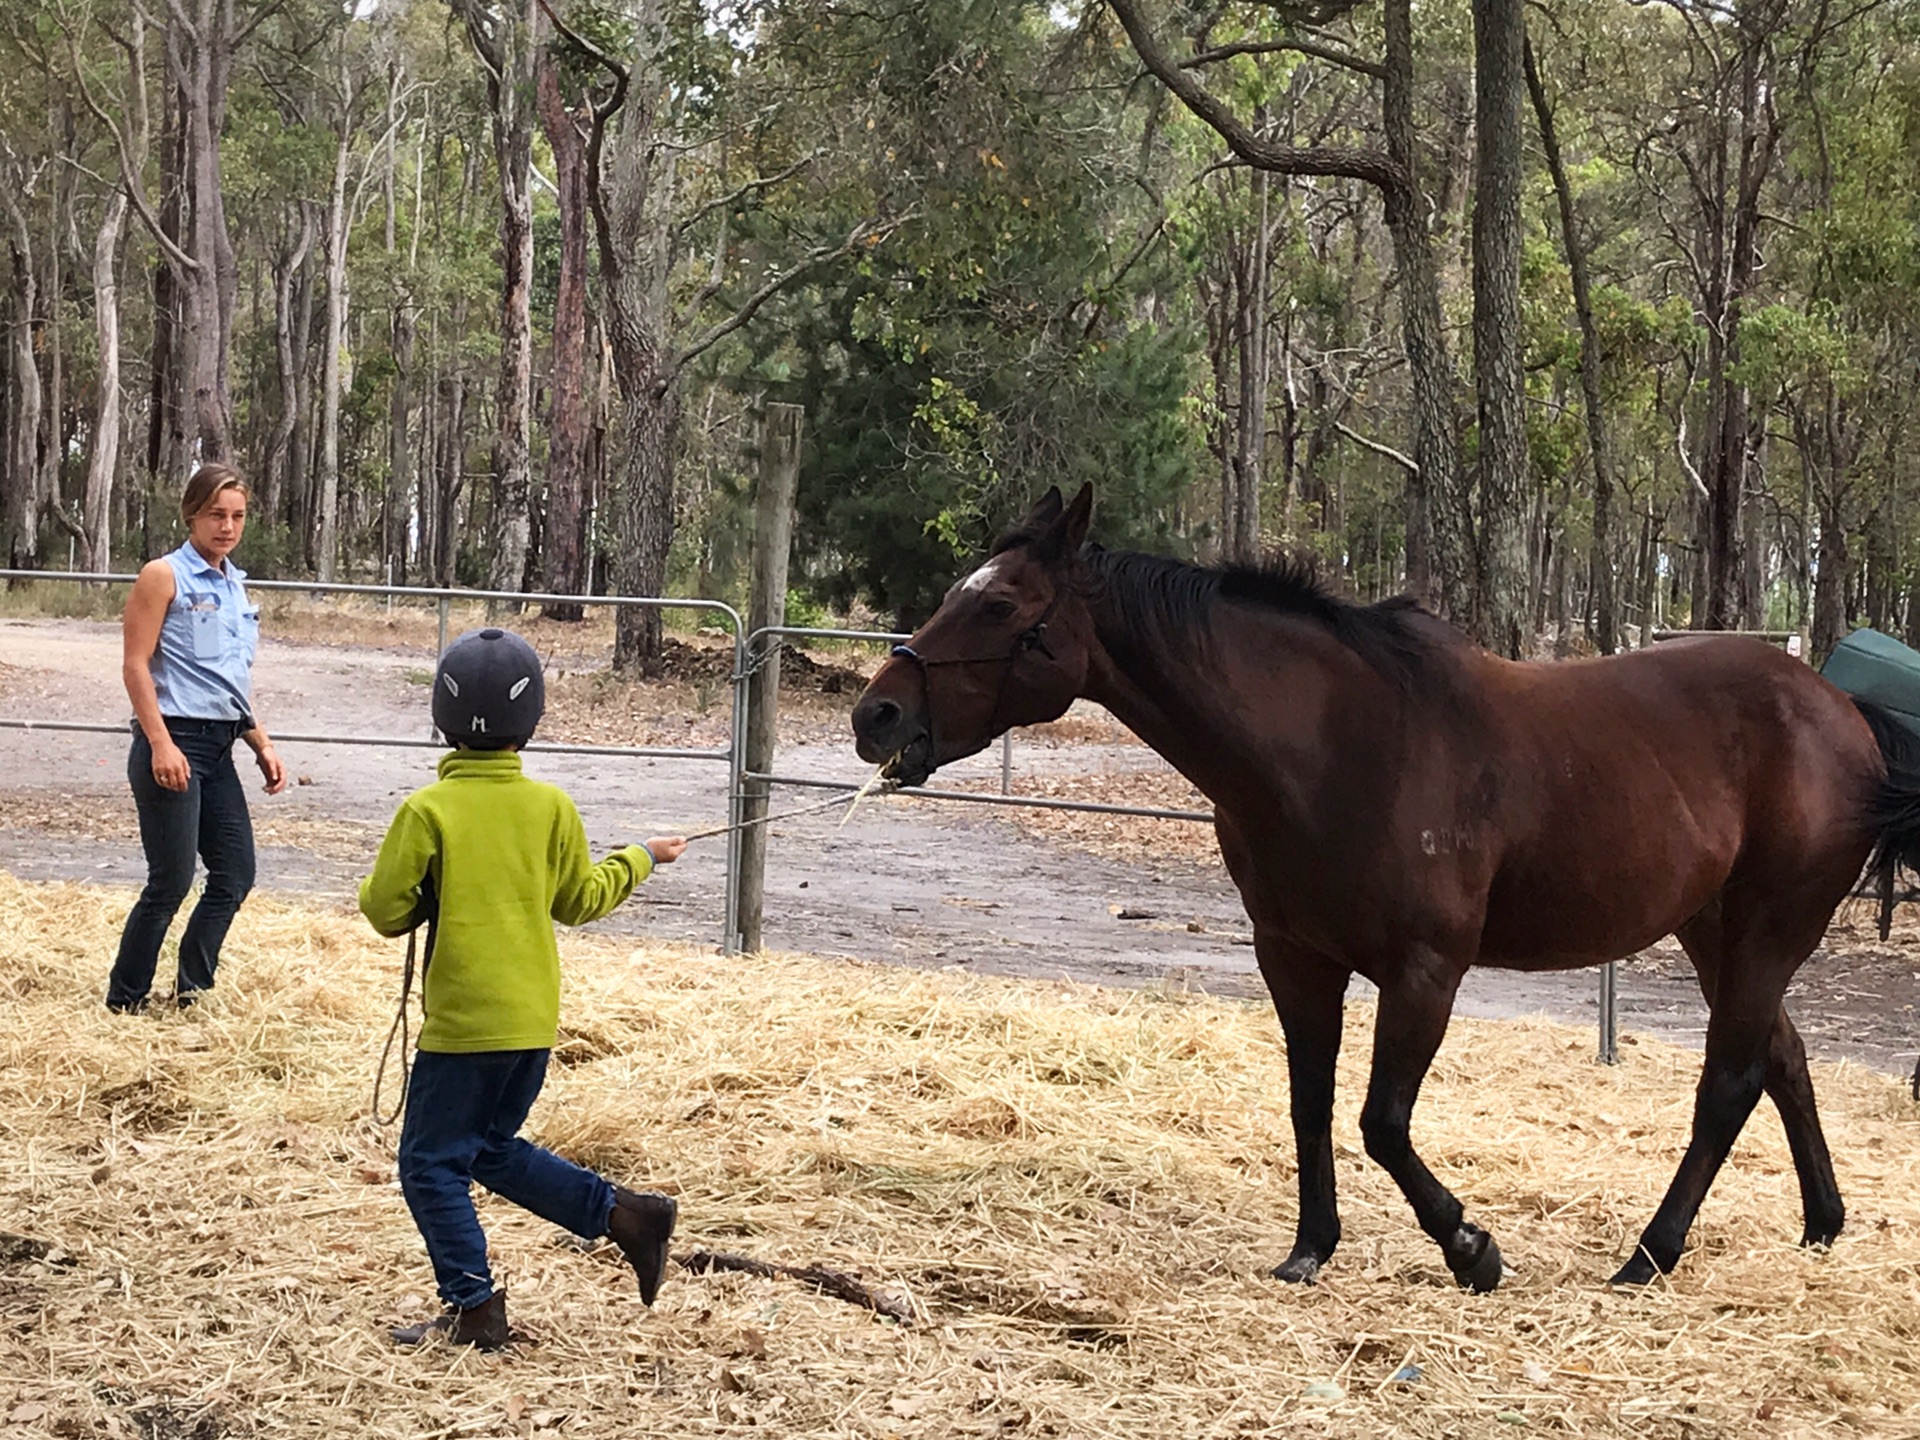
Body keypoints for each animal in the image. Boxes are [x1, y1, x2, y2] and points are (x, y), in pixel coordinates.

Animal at [856, 487, 1920, 1297]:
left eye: (1002, 608)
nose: (878, 716)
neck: (1340, 745)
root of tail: (1842, 710)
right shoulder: (1295, 961)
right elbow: (1310, 1102)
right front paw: (1309, 1249)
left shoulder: (1424, 972)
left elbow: (1382, 1120)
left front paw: (1472, 1250)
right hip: (1715, 933)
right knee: (1784, 1060)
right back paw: (1820, 1226)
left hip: (1769, 931)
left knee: (1731, 1081)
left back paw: (1648, 1257)